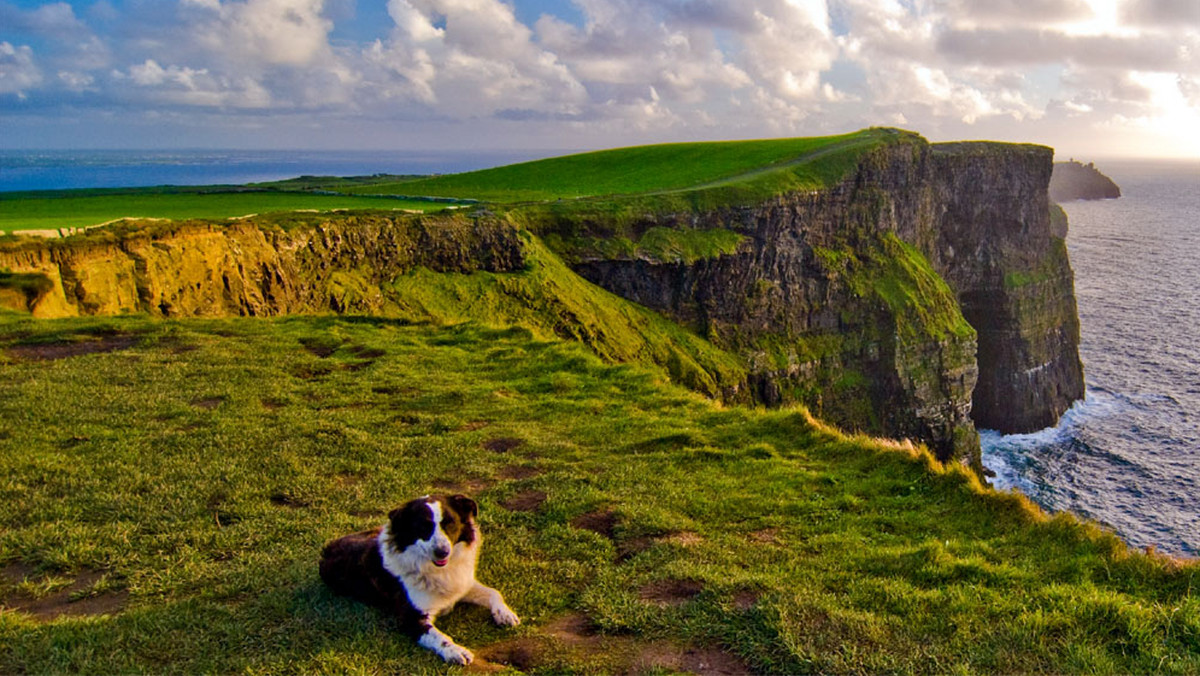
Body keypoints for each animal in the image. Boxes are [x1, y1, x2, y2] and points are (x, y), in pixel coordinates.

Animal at [319, 494, 520, 662]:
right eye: (423, 526)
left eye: (450, 523)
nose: (442, 552)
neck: (435, 569)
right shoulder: (411, 618)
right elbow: (439, 636)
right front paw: (455, 651)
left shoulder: (462, 585)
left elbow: (494, 592)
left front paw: (504, 613)